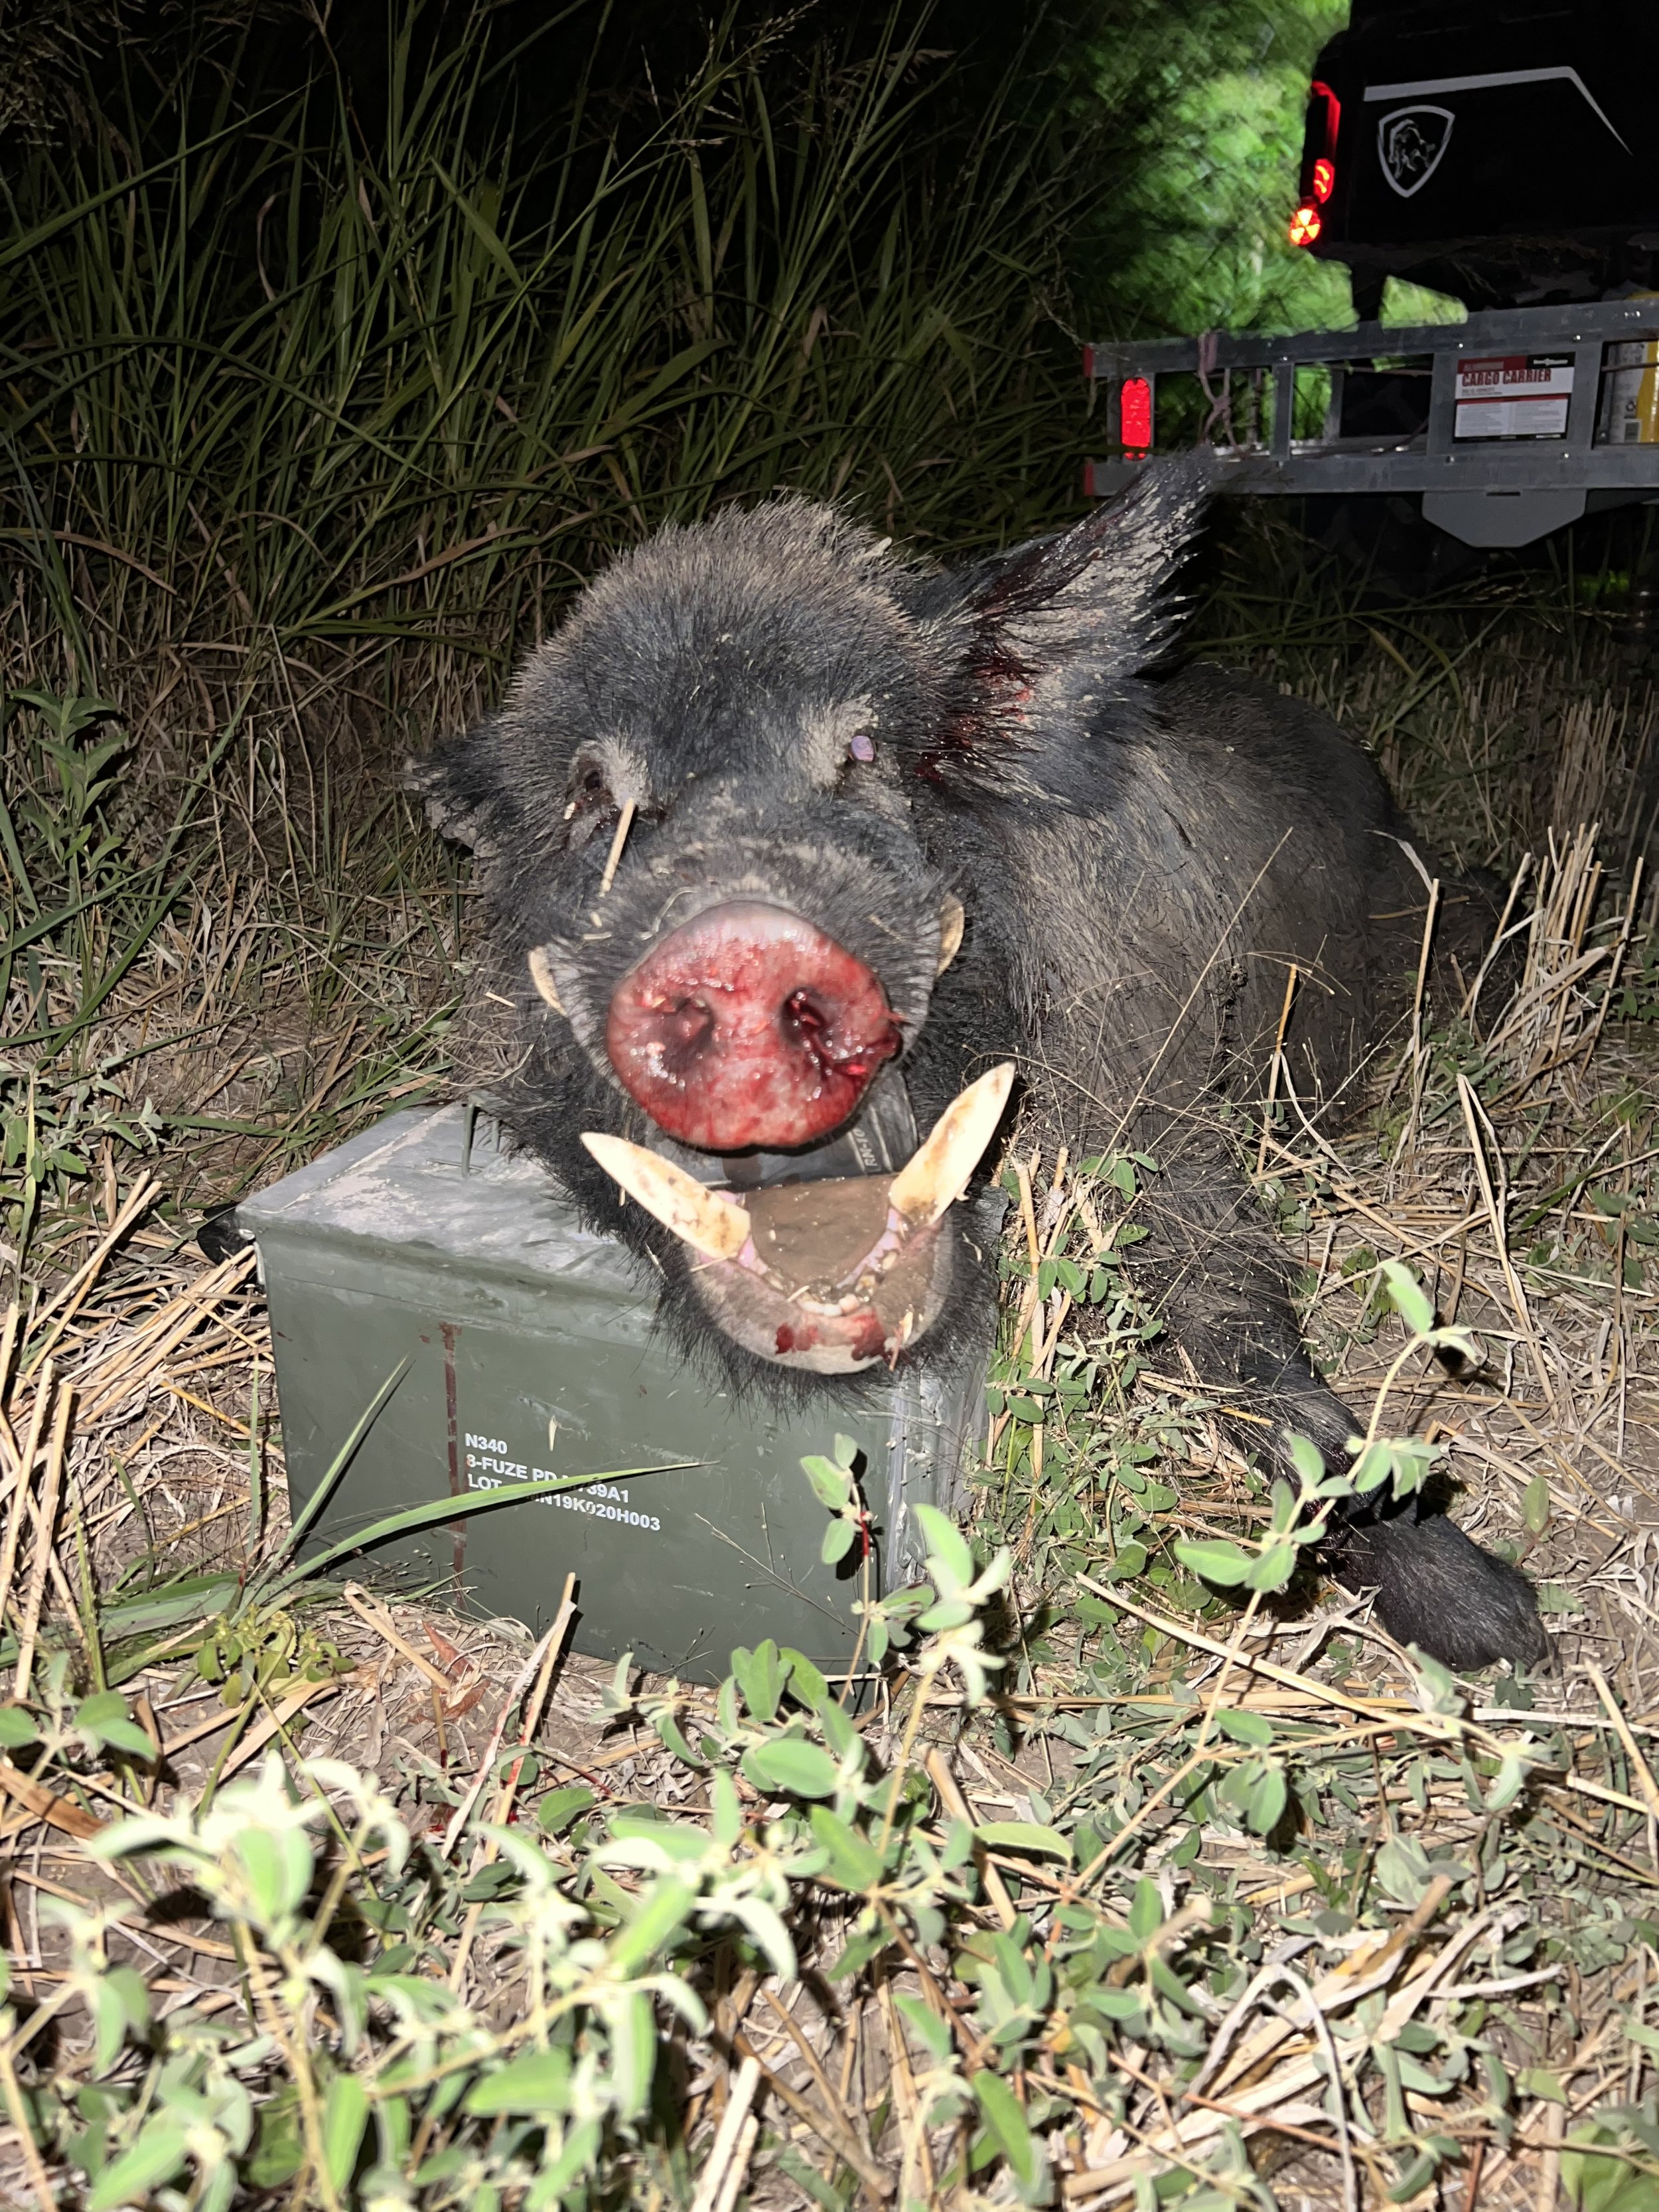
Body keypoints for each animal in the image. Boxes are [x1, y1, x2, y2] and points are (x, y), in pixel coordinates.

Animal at [410, 463, 1546, 1672]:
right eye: (592, 794)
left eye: (863, 754)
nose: (740, 934)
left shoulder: (1156, 1109)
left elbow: (1235, 1314)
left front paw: (1503, 1633)